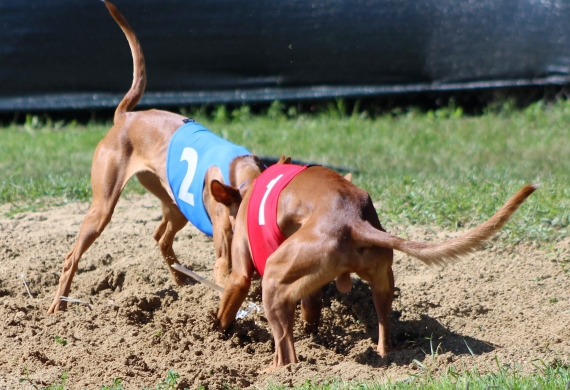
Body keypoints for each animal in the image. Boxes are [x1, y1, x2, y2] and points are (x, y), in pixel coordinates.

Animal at [46, 0, 264, 314]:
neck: (239, 171)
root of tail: (125, 117)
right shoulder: (225, 257)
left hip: (175, 205)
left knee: (161, 239)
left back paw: (184, 285)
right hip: (102, 209)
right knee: (71, 256)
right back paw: (58, 306)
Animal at [209, 159, 532, 372]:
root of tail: (351, 219)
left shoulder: (240, 275)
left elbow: (228, 304)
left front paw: (216, 331)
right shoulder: (309, 289)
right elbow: (310, 310)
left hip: (274, 281)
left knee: (286, 352)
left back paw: (277, 374)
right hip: (382, 283)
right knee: (383, 327)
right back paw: (385, 354)